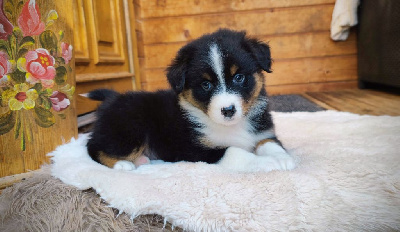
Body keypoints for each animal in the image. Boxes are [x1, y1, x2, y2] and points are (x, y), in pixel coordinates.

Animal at [86, 28, 296, 172]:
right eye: (206, 85)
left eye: (238, 77)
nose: (228, 110)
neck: (231, 126)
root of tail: (113, 99)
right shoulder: (197, 150)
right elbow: (236, 152)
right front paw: (269, 162)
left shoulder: (263, 132)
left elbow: (270, 143)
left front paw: (283, 158)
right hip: (130, 127)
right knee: (93, 147)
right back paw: (123, 164)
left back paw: (141, 160)